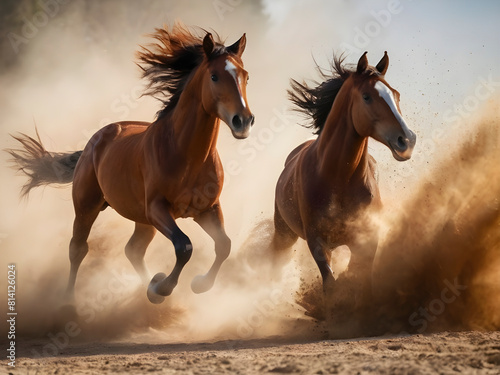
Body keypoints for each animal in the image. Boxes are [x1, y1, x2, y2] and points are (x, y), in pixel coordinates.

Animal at [9, 25, 254, 306]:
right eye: (214, 76)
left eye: (246, 76)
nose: (243, 121)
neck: (188, 157)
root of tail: (95, 140)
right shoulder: (157, 209)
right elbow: (184, 246)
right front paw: (162, 287)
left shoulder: (207, 209)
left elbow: (224, 244)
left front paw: (196, 284)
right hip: (87, 207)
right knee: (78, 248)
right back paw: (69, 302)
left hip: (141, 219)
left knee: (133, 249)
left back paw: (145, 288)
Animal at [272, 51, 416, 312]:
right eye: (367, 96)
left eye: (397, 94)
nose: (407, 140)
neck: (337, 179)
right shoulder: (317, 241)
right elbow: (330, 284)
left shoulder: (367, 239)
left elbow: (361, 279)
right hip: (284, 233)